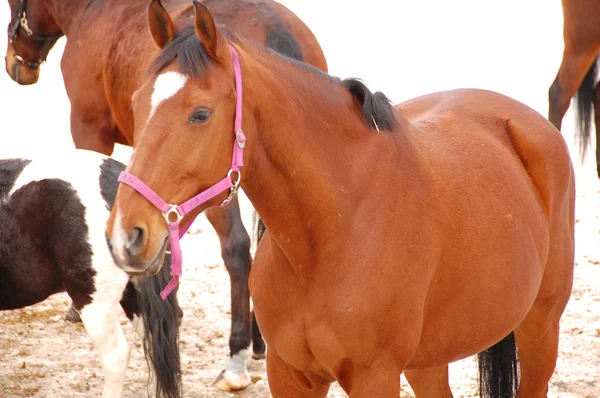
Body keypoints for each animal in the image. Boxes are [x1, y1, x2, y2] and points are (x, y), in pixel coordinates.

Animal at [104, 1, 576, 396]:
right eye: (135, 103)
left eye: (200, 114)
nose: (126, 235)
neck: (335, 229)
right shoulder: (289, 373)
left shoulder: (375, 376)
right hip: (428, 360)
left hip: (540, 331)